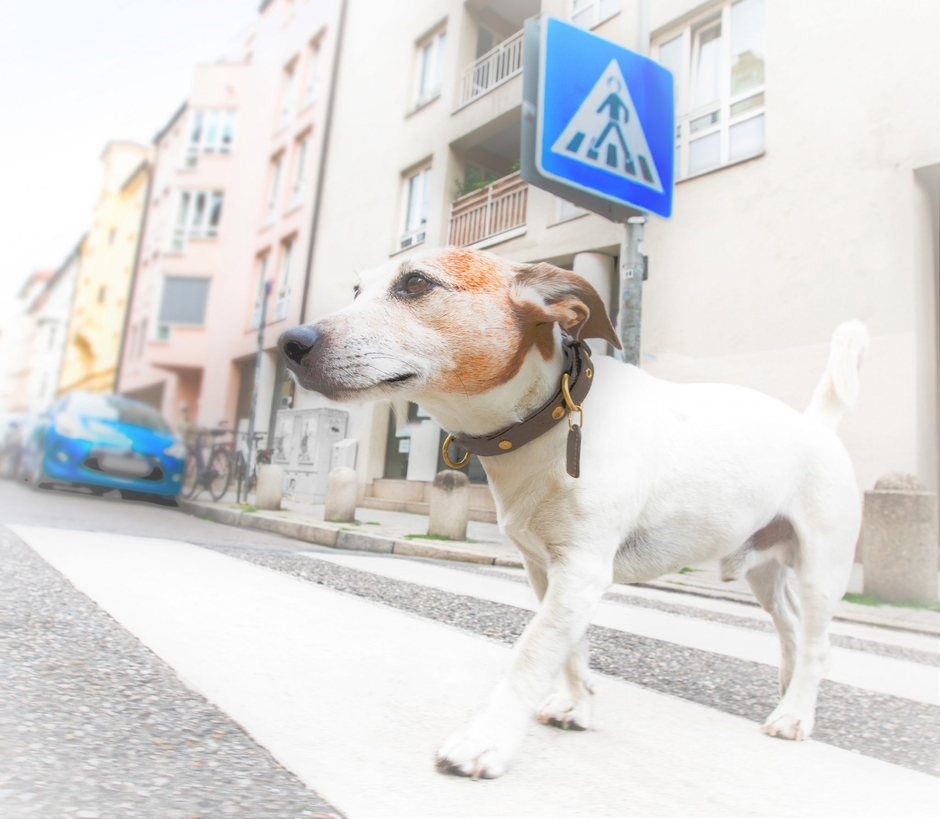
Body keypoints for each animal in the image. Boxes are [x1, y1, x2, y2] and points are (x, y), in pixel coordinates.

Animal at [278, 247, 868, 779]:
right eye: (357, 290)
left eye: (416, 283)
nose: (290, 343)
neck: (550, 418)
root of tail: (818, 424)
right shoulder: (547, 569)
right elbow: (568, 650)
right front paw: (577, 705)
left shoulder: (582, 570)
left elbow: (533, 650)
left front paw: (485, 740)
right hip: (763, 571)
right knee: (791, 629)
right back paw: (789, 692)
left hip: (822, 570)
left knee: (818, 645)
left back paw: (795, 715)